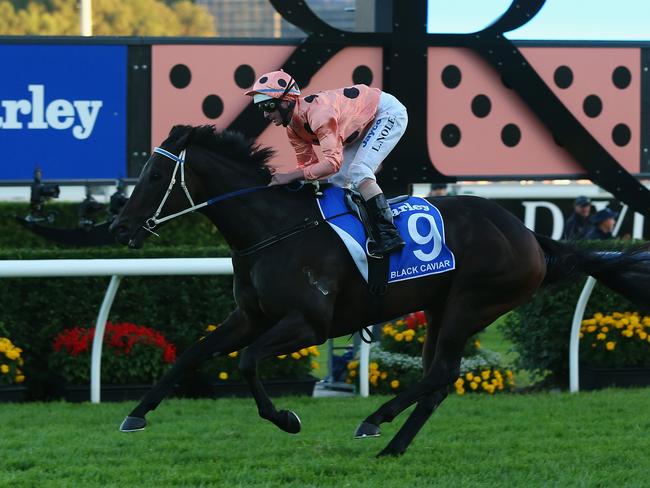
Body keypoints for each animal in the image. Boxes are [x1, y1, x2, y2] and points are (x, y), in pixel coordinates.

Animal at [110, 126, 648, 458]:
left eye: (155, 176)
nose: (119, 227)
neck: (276, 229)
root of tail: (529, 235)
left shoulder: (308, 324)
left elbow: (245, 362)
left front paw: (286, 418)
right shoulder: (250, 317)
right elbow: (194, 353)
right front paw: (135, 414)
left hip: (471, 304)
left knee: (441, 374)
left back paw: (375, 420)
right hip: (439, 309)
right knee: (437, 380)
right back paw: (393, 444)